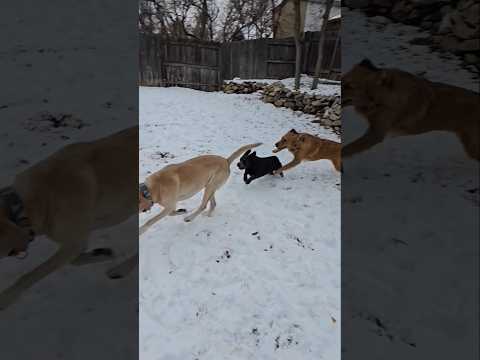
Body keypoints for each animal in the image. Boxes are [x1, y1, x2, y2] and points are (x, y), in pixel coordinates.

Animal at [0, 126, 139, 310]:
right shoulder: (76, 241)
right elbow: (76, 260)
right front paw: (102, 253)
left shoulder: (73, 243)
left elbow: (29, 276)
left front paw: (5, 298)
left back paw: (121, 269)